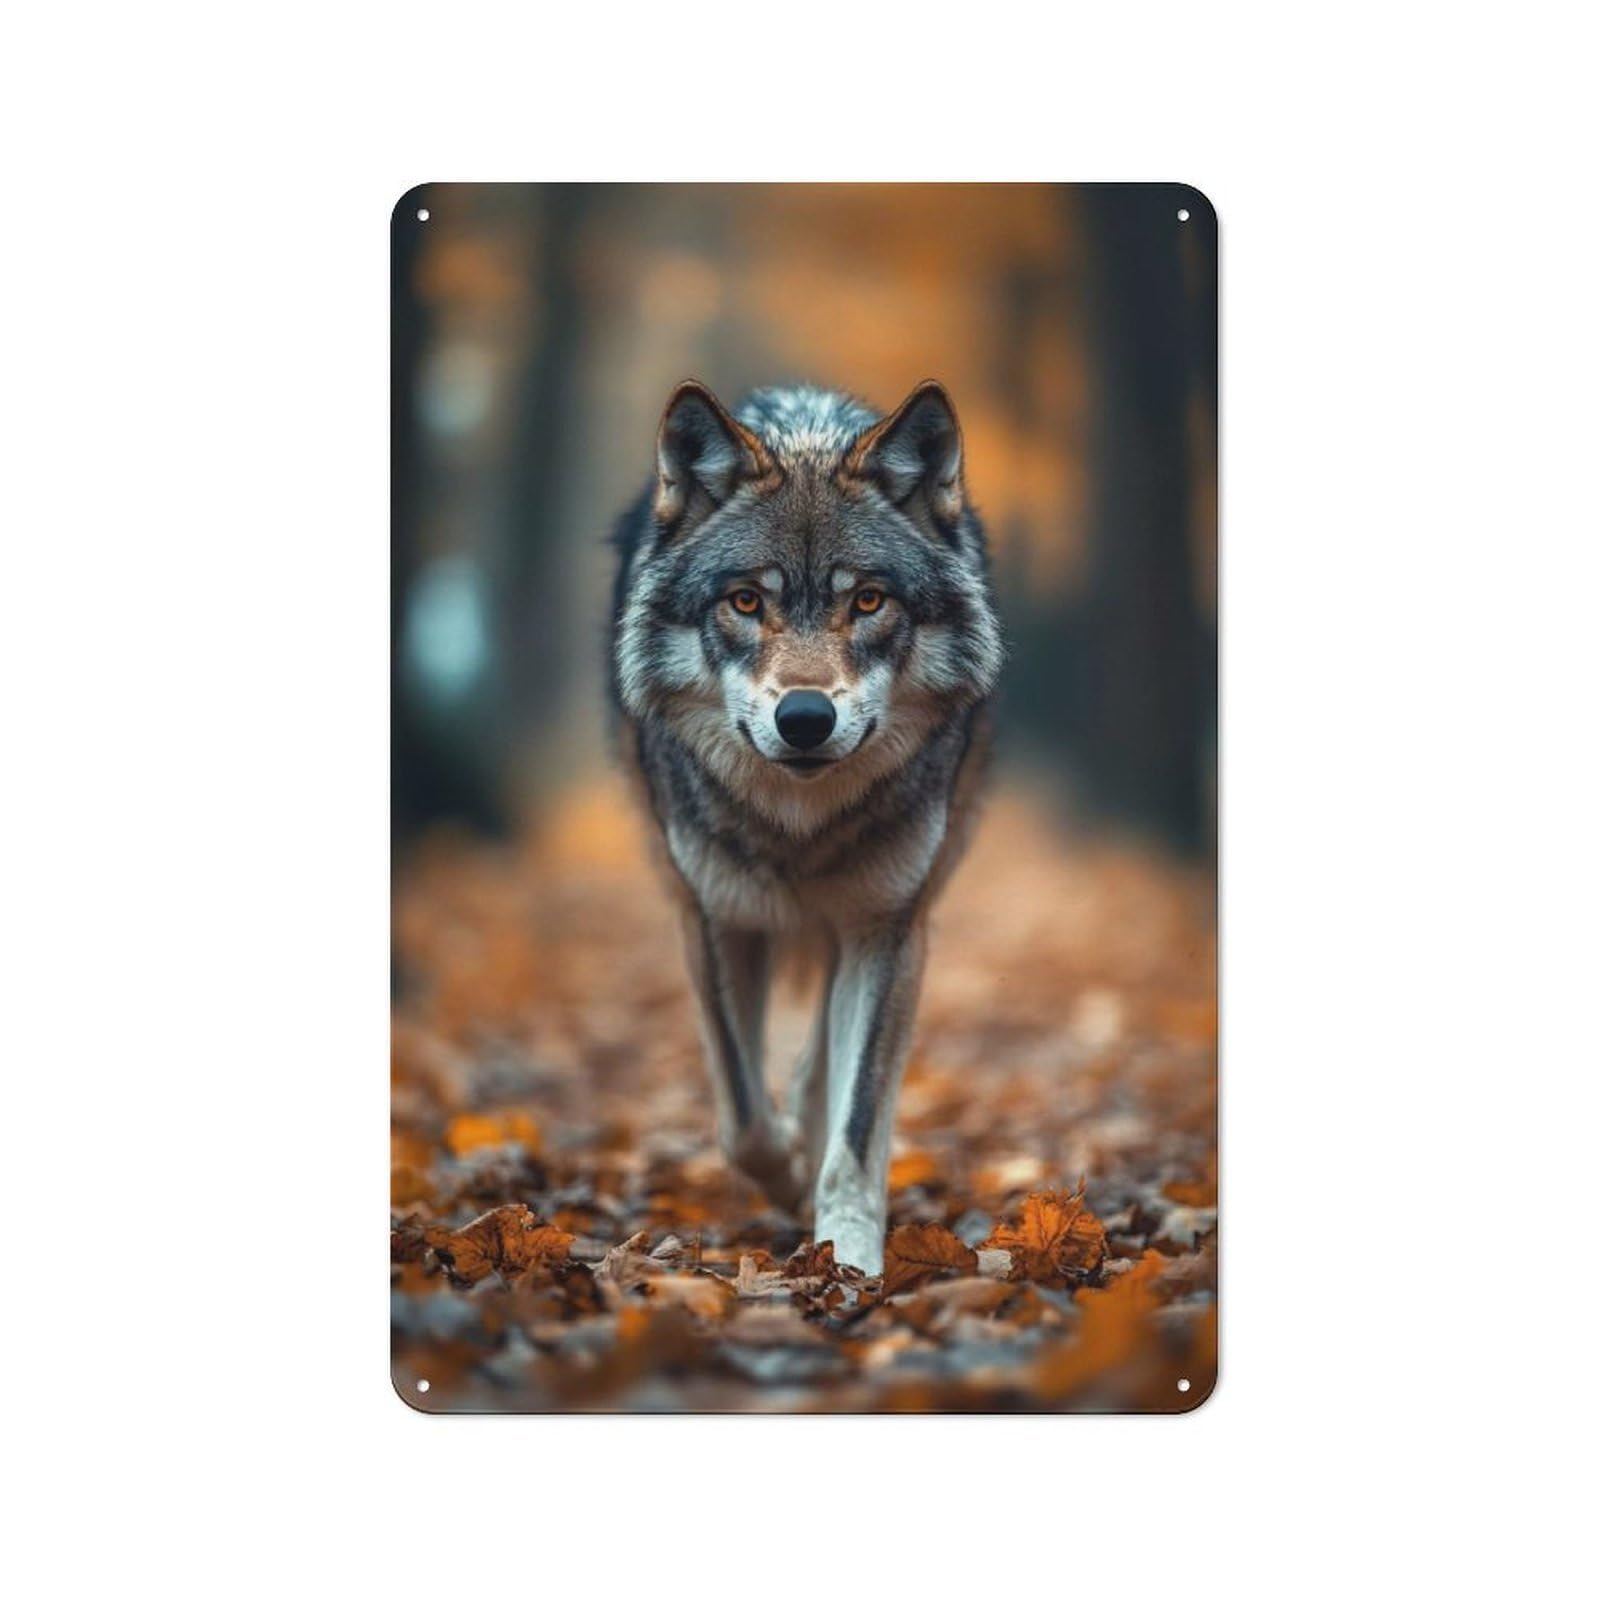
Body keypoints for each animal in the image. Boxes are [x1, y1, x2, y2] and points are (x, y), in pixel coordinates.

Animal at [609, 379, 1003, 1272]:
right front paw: (786, 1175)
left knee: (825, 1058)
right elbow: (742, 1118)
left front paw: (849, 1259)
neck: (801, 827)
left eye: (868, 600)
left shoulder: (889, 928)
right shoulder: (714, 918)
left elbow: (855, 1124)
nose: (804, 719)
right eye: (746, 600)